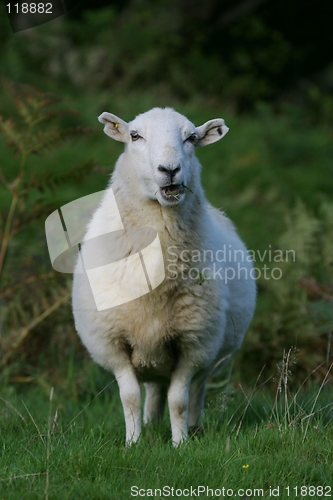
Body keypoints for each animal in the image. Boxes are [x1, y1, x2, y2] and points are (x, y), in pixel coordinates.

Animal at [71, 105, 255, 446]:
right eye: (134, 136)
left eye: (191, 138)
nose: (169, 169)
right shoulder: (113, 344)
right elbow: (130, 396)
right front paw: (133, 443)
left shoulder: (194, 345)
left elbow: (179, 399)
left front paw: (180, 443)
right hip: (153, 354)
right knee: (154, 389)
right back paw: (150, 424)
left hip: (211, 353)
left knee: (196, 391)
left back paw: (193, 427)